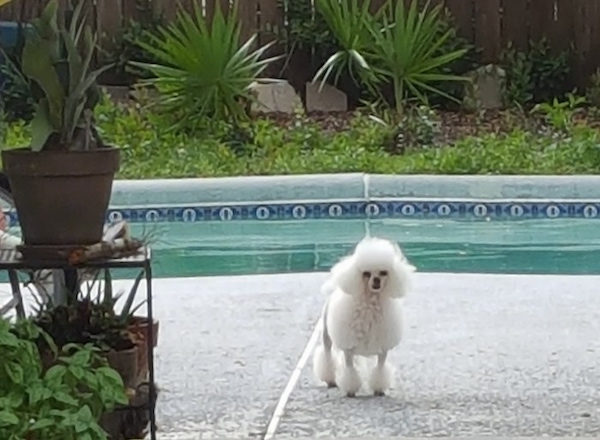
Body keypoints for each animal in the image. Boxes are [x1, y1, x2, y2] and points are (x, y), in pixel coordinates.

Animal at [312, 237, 414, 398]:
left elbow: (380, 369)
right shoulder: (348, 348)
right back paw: (330, 380)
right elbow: (349, 370)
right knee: (327, 355)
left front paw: (379, 389)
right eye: (366, 273)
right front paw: (350, 390)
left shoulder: (383, 348)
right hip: (326, 336)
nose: (376, 280)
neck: (370, 303)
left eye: (384, 272)